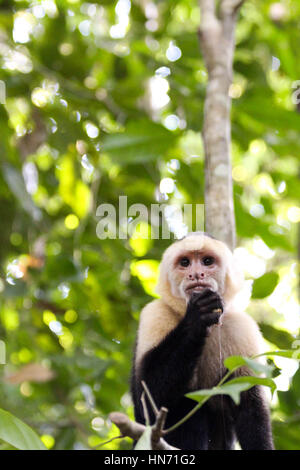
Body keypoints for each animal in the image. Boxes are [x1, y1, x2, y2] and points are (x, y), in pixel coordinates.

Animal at [131, 233, 274, 450]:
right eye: (185, 263)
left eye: (207, 261)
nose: (196, 274)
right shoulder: (155, 313)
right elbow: (147, 400)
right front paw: (197, 316)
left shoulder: (242, 327)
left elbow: (250, 405)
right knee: (188, 403)